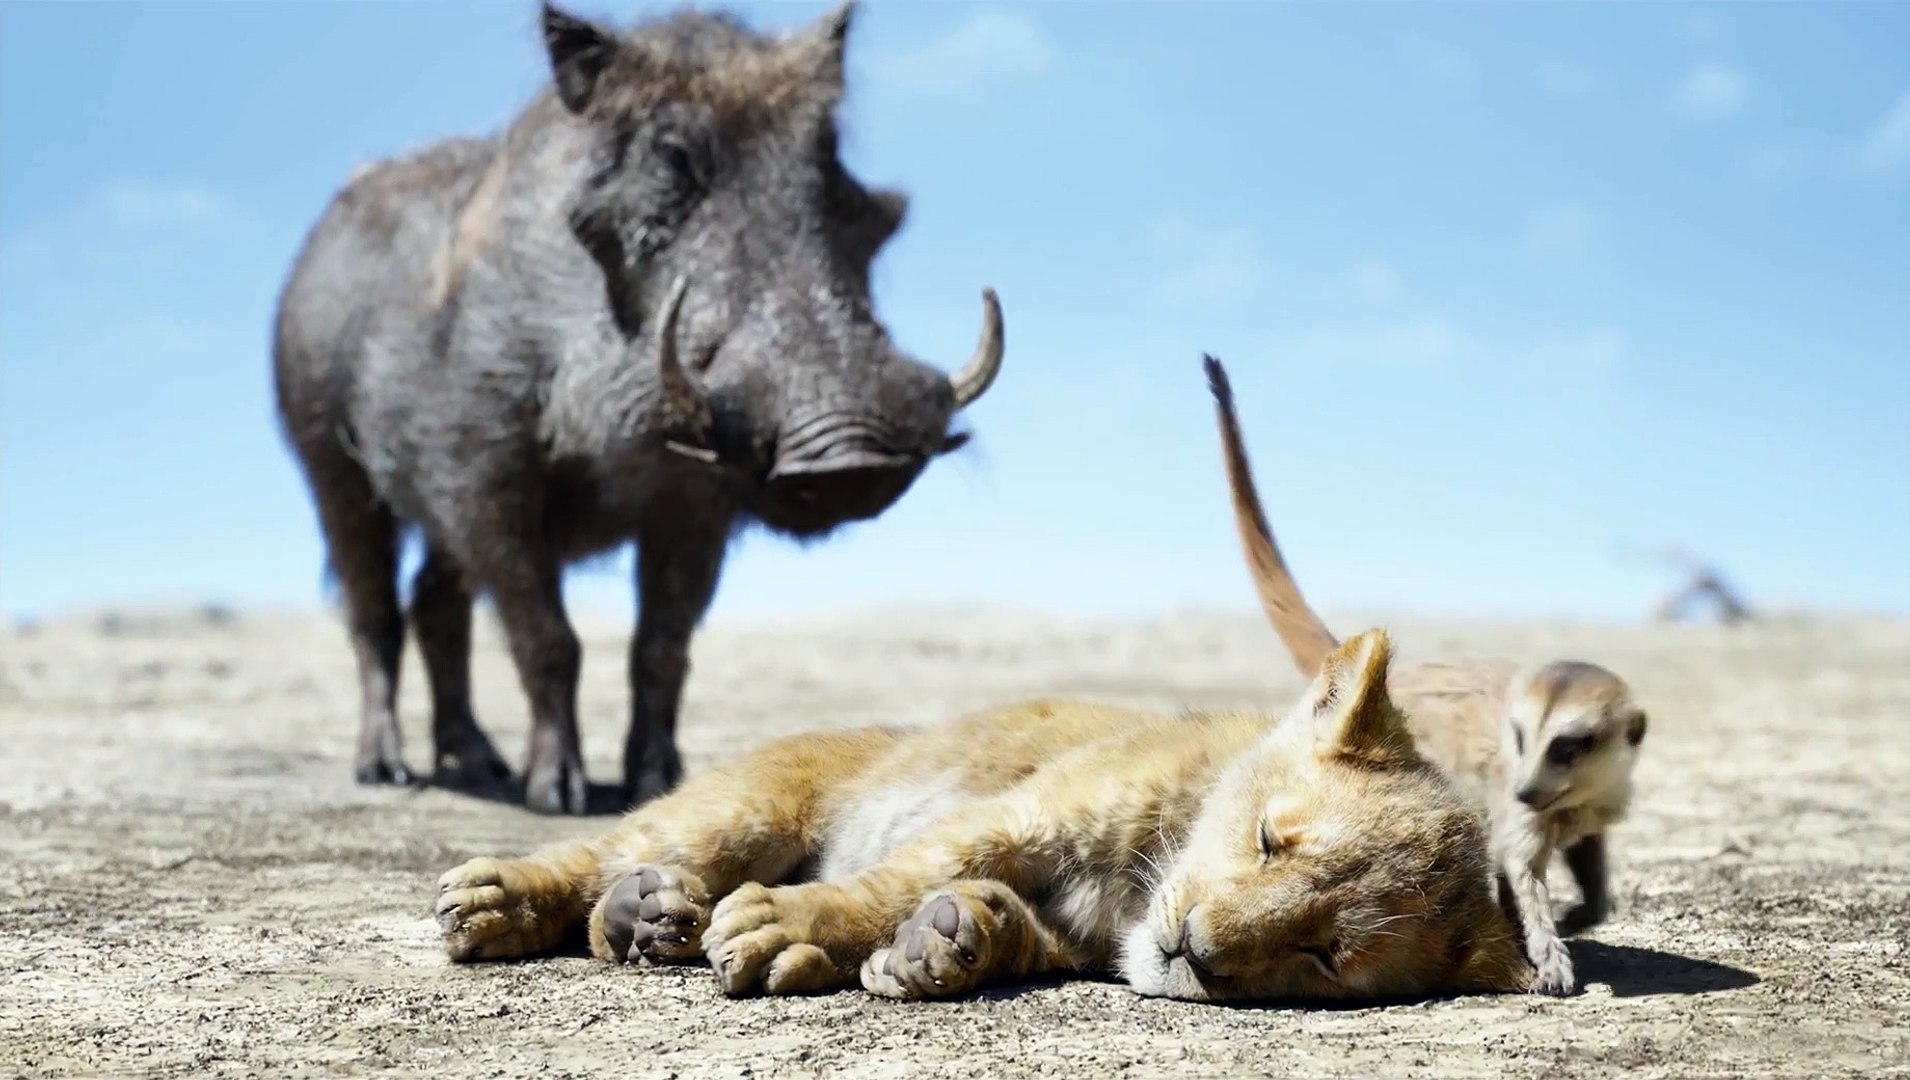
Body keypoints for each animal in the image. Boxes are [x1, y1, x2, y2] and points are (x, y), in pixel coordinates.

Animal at [433, 628, 1535, 1002]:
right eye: (1271, 841)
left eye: (1325, 954)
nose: (1195, 952)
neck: (1138, 887)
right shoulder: (1020, 814)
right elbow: (890, 881)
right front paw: (795, 924)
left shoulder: (1075, 935)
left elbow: (998, 928)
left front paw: (942, 946)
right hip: (742, 808)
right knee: (601, 850)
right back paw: (498, 901)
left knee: (624, 891)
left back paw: (646, 919)